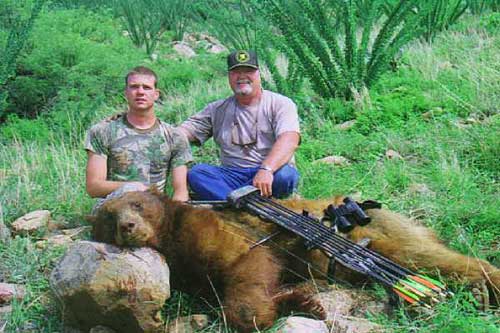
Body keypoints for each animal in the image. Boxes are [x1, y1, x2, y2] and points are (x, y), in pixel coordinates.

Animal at [93, 188, 500, 330]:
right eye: (108, 216)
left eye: (137, 204)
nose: (127, 225)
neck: (171, 236)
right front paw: (300, 300)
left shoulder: (211, 230)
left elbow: (249, 268)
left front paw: (292, 305)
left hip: (385, 233)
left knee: (430, 260)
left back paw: (482, 288)